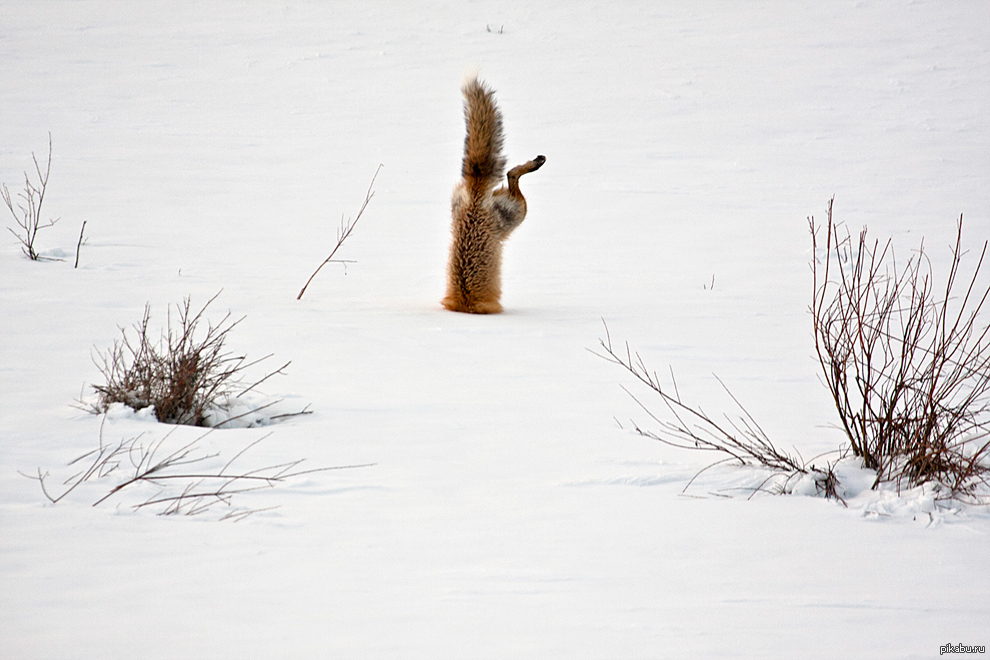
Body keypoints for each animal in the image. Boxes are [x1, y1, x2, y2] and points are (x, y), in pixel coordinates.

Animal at [444, 77, 548, 314]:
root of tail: (475, 195)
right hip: (517, 214)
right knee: (511, 174)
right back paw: (535, 163)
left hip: (515, 212)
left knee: (511, 174)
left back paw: (535, 163)